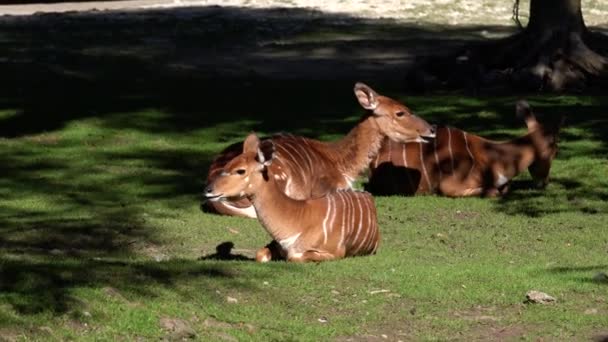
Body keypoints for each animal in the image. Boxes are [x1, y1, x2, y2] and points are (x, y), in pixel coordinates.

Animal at [204, 133, 380, 262]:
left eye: (240, 170)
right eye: (228, 165)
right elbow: (260, 255)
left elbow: (294, 257)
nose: (208, 189)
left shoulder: (334, 253)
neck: (297, 220)